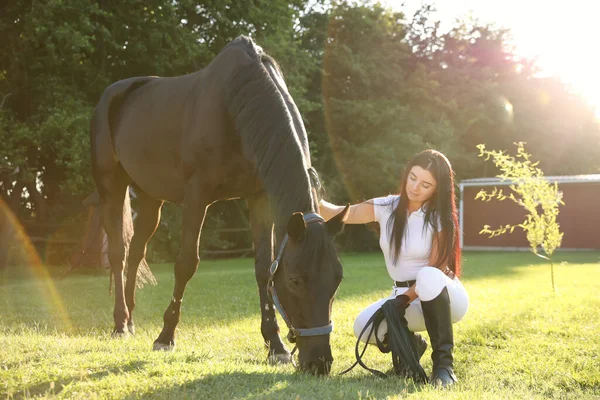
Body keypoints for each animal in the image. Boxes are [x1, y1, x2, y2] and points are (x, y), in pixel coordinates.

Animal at [91, 35, 350, 376]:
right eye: (295, 280)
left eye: (337, 277)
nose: (319, 363)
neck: (237, 106)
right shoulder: (196, 195)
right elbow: (186, 263)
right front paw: (165, 336)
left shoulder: (259, 198)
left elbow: (262, 268)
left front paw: (276, 347)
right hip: (111, 185)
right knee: (119, 254)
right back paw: (120, 324)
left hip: (150, 197)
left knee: (136, 252)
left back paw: (131, 321)